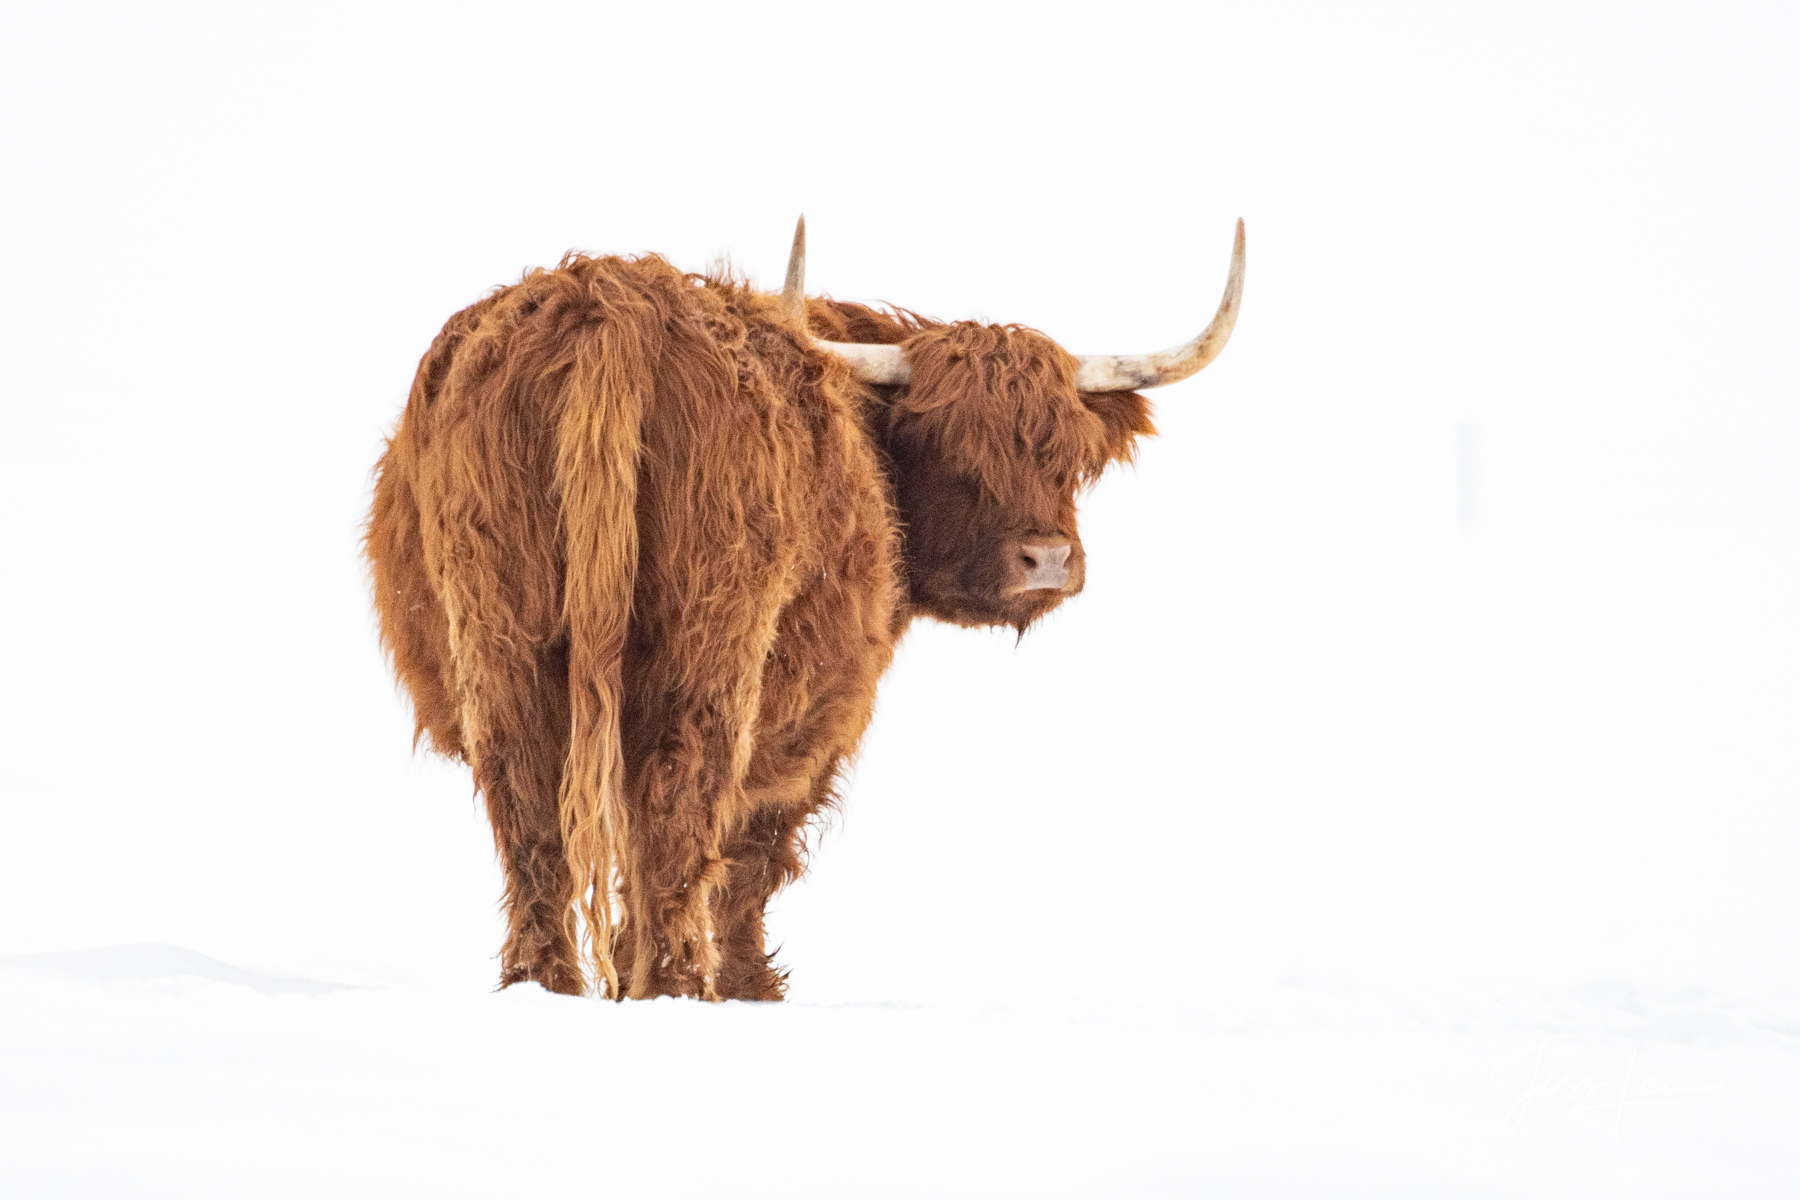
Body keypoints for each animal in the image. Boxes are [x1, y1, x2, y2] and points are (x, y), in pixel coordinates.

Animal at [361, 218, 1238, 1007]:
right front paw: (751, 986)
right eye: (952, 448)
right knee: (680, 804)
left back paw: (547, 987)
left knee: (532, 809)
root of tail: (611, 297)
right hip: (710, 651)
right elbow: (748, 857)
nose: (1048, 560)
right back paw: (680, 988)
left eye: (1068, 456)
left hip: (500, 640)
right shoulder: (817, 729)